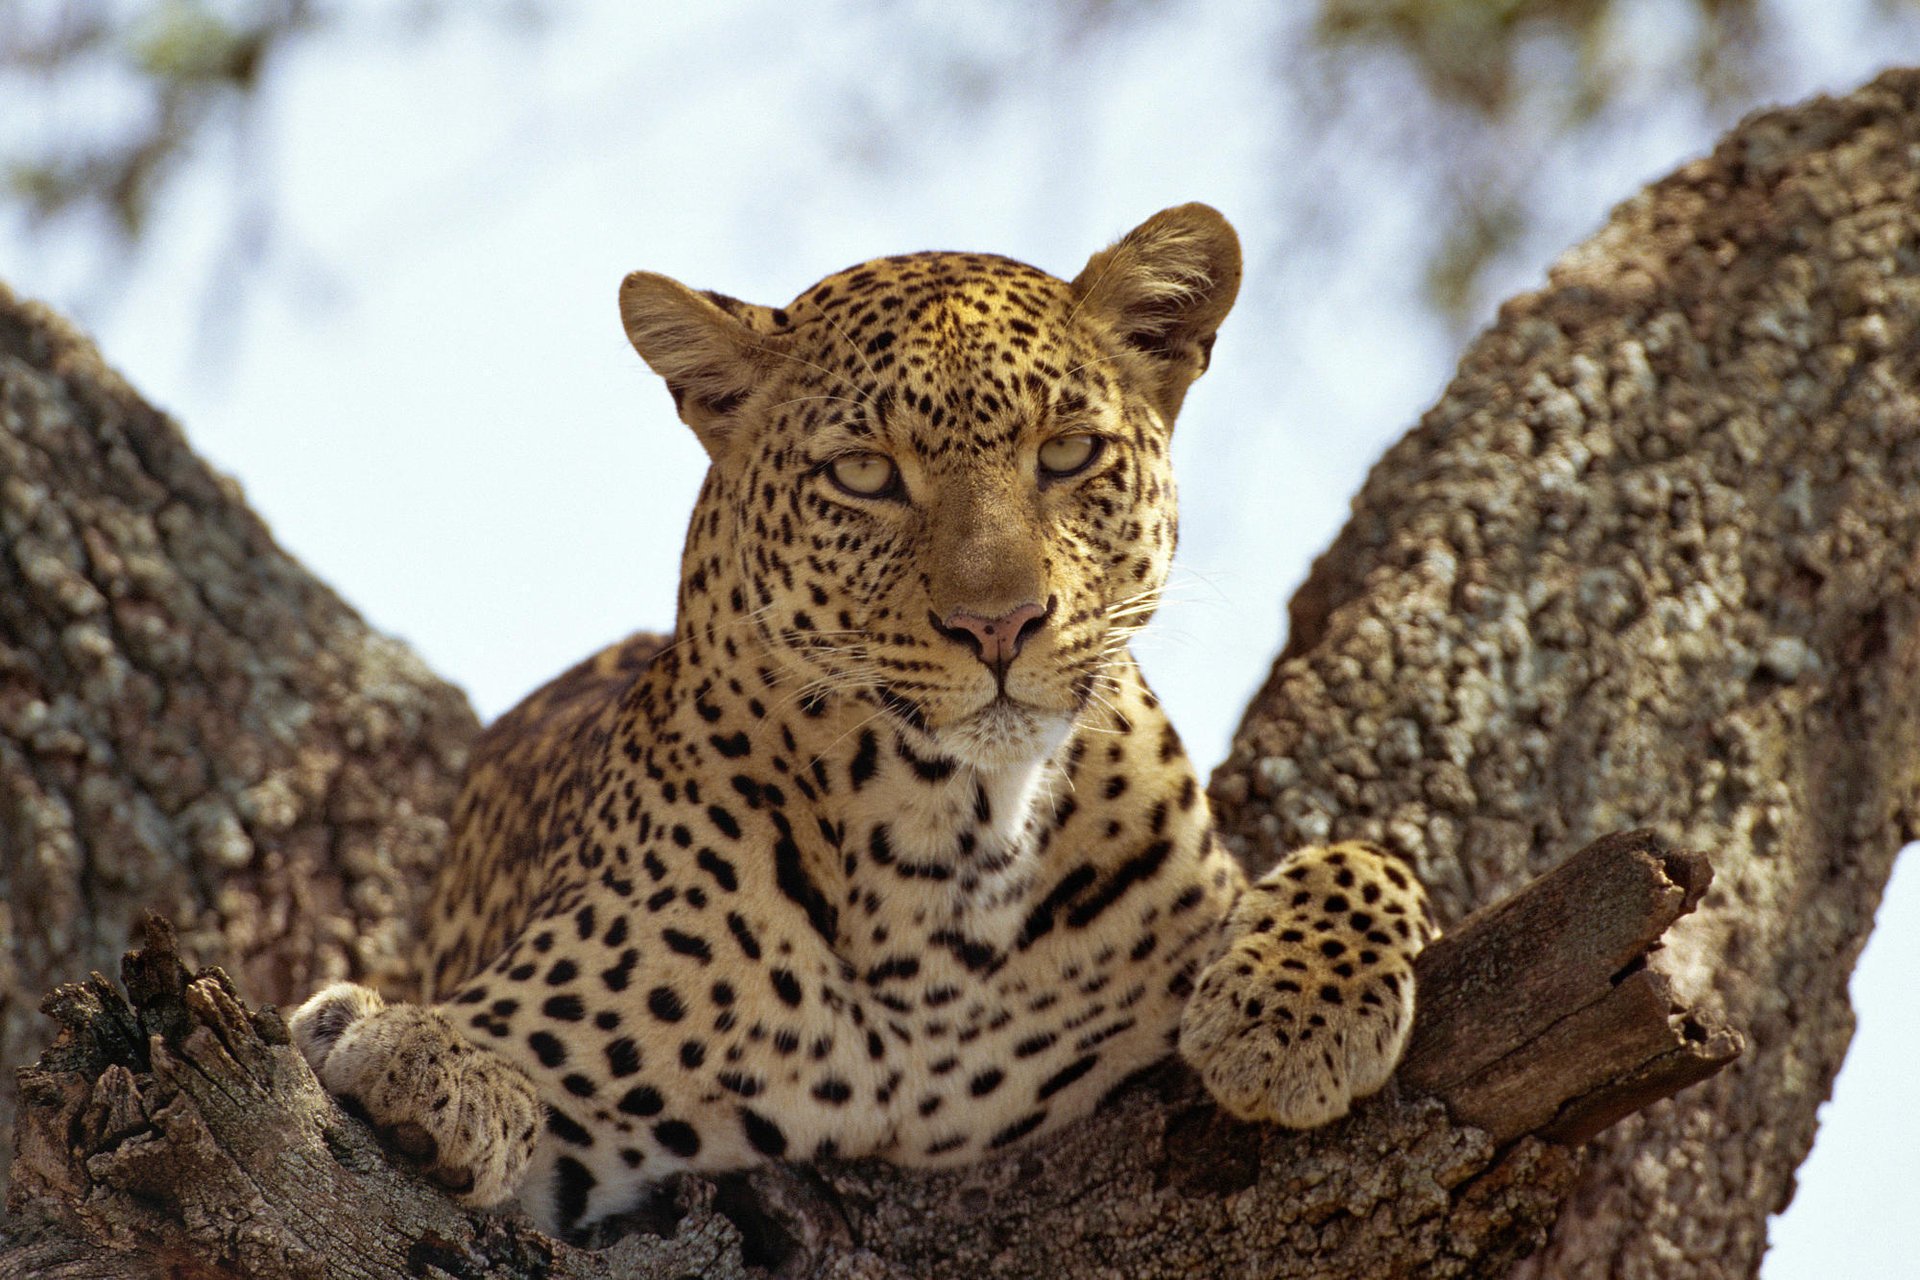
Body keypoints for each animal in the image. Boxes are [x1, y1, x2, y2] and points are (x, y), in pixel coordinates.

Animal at [290, 203, 1436, 1235]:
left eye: (1068, 454)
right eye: (865, 473)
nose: (999, 622)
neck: (948, 844)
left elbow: (1369, 857)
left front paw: (1288, 1017)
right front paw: (415, 1055)